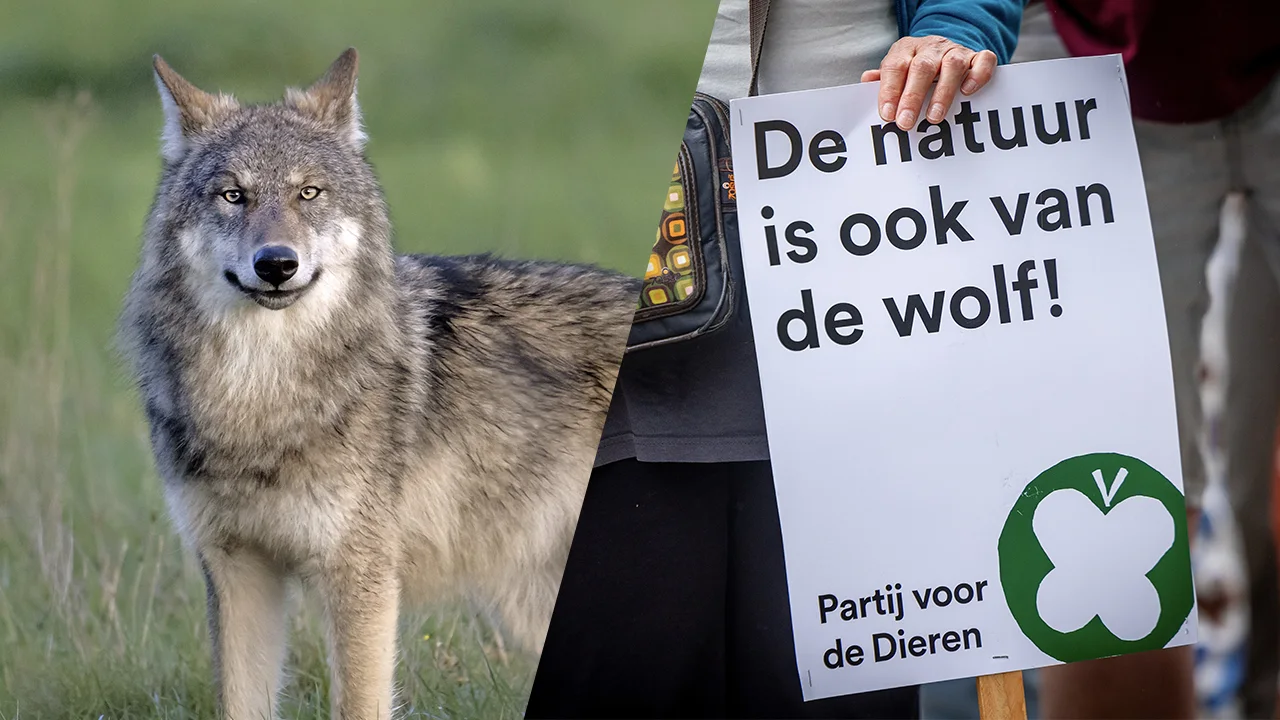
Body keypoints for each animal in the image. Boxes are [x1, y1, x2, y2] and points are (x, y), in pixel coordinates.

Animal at [117, 48, 639, 719]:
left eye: (309, 191)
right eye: (234, 195)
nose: (276, 263)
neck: (260, 398)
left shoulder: (360, 574)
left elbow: (357, 703)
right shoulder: (237, 569)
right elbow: (240, 702)